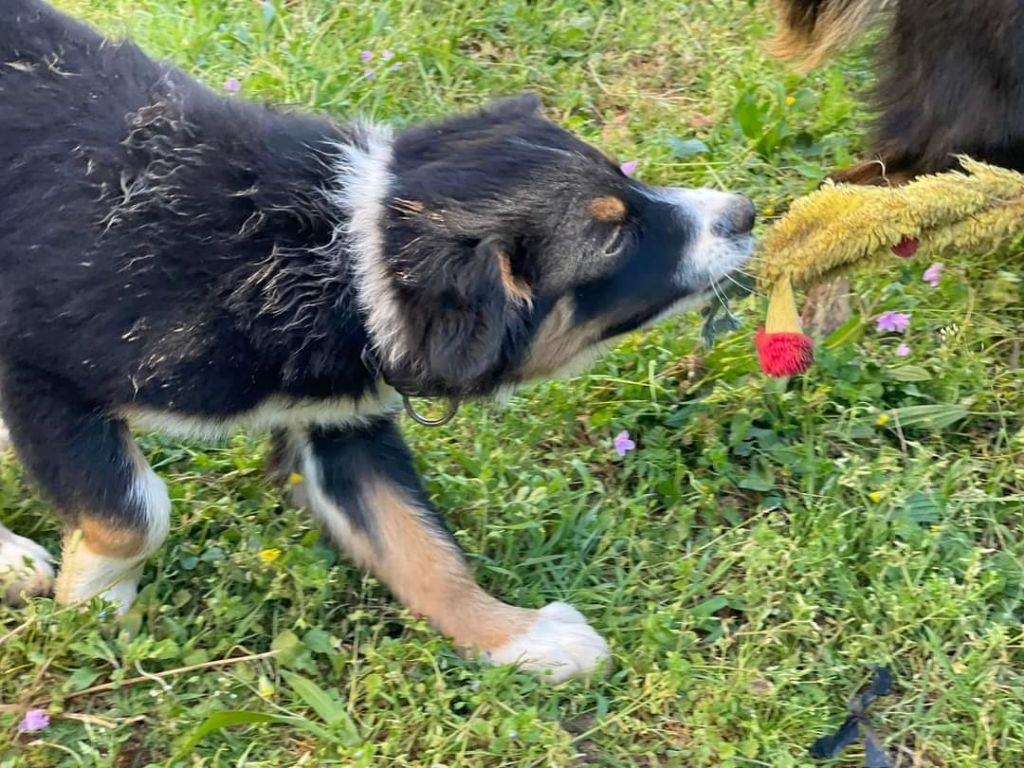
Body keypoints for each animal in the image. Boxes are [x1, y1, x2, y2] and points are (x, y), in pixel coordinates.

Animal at [0, 1, 753, 684]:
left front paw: (522, 638)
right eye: (615, 237)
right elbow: (134, 511)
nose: (744, 212)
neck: (343, 254)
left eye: (627, 179)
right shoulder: (38, 372)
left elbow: (420, 546)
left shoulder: (340, 423)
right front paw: (93, 604)